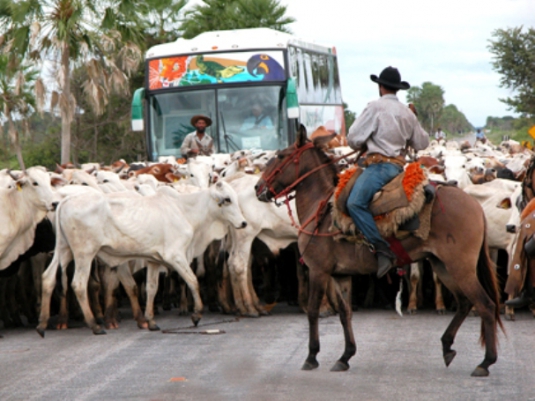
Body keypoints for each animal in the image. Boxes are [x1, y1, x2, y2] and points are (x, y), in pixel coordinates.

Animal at [37, 180, 247, 332]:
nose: (244, 223)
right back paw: (94, 325)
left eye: (236, 198)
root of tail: (65, 201)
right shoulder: (176, 256)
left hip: (63, 249)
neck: (185, 211)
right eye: (227, 199)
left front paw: (151, 321)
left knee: (48, 277)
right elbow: (192, 280)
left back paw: (42, 325)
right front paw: (196, 315)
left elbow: (151, 288)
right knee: (78, 284)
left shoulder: (154, 260)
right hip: (84, 254)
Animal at [255, 125, 506, 376]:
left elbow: (313, 311)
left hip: (460, 267)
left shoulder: (318, 271)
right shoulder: (340, 275)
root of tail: (475, 205)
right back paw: (447, 347)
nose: (258, 188)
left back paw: (486, 362)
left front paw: (311, 356)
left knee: (485, 304)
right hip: (442, 265)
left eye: (280, 156)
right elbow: (345, 313)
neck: (321, 210)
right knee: (464, 303)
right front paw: (345, 356)